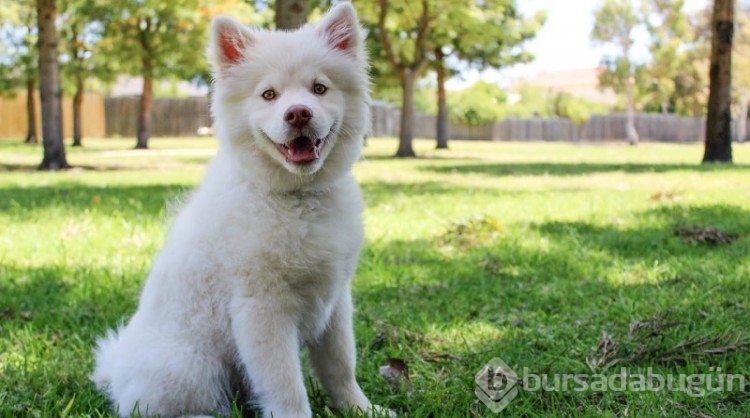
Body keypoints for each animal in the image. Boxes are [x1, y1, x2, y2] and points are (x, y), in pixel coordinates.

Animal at [91, 4, 390, 418]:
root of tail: (116, 371)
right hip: (191, 367)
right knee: (151, 407)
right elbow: (286, 386)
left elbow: (341, 366)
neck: (297, 198)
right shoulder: (262, 309)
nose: (298, 113)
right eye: (268, 94)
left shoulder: (335, 301)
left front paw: (361, 409)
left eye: (319, 88)